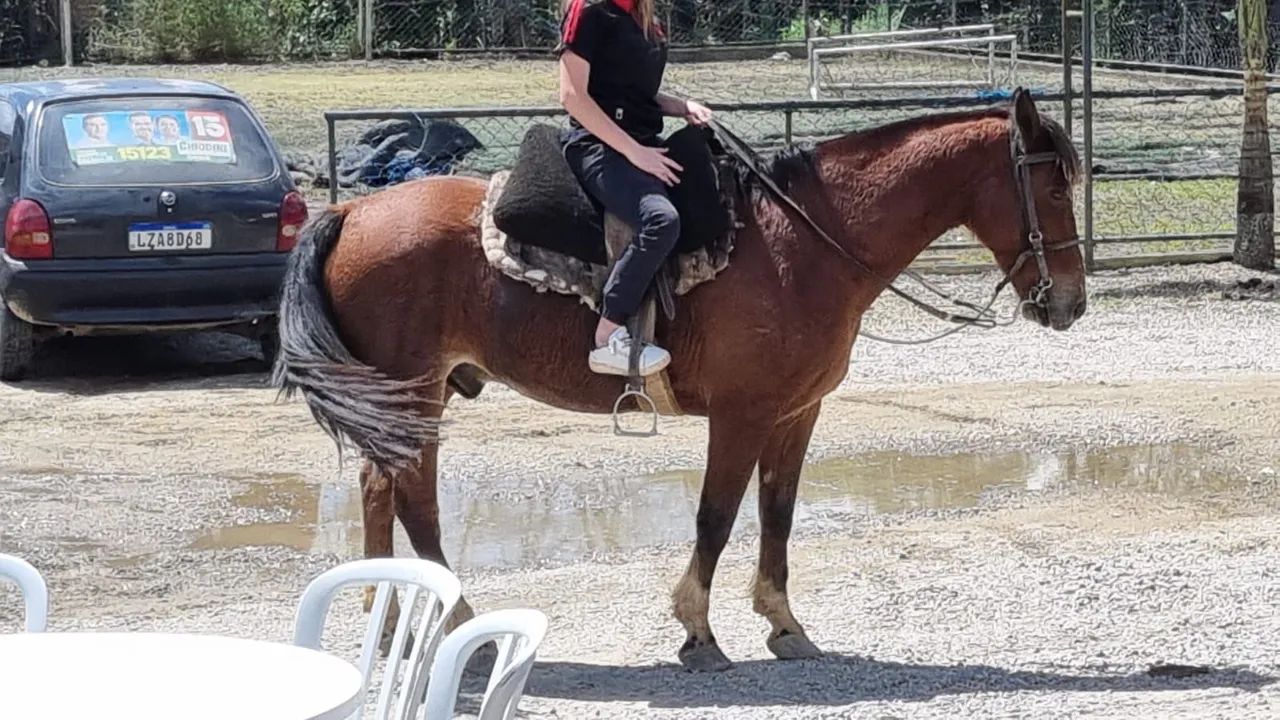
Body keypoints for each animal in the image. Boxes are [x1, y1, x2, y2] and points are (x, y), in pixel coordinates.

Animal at [272, 89, 1085, 672]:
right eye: (1052, 191)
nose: (1071, 302)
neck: (804, 245)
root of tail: (352, 209)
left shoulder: (797, 414)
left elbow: (778, 515)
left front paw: (785, 625)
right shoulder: (742, 415)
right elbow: (716, 519)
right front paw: (699, 634)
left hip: (409, 396)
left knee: (381, 490)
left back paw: (392, 616)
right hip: (414, 394)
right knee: (416, 503)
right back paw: (458, 623)